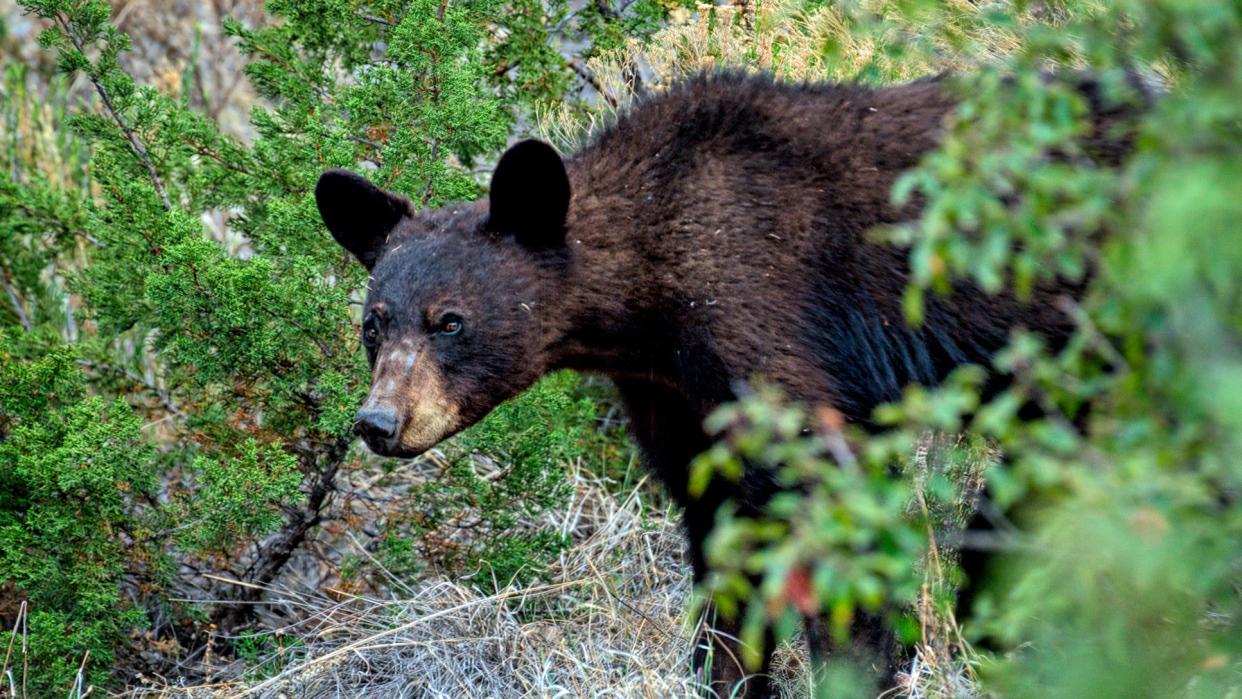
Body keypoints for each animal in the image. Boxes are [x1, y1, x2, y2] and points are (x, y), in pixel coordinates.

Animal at [317, 72, 1137, 699]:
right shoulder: (672, 397)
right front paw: (728, 673)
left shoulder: (766, 321)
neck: (650, 292)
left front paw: (865, 667)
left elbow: (824, 495)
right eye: (374, 325)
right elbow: (724, 539)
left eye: (450, 321)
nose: (380, 422)